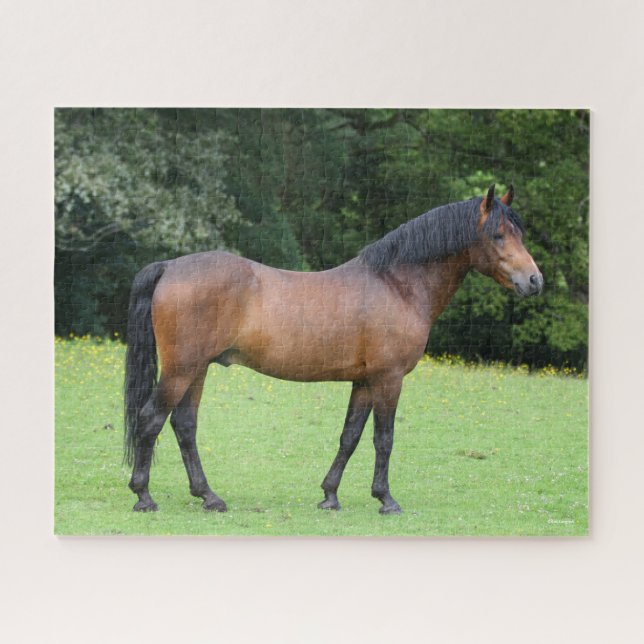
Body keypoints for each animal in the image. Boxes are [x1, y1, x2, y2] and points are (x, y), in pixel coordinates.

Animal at [124, 184, 543, 514]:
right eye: (498, 235)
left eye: (518, 233)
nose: (535, 281)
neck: (397, 284)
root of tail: (170, 266)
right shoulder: (388, 379)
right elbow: (384, 439)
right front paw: (386, 500)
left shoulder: (364, 381)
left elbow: (350, 436)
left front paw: (330, 496)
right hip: (181, 369)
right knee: (151, 419)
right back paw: (143, 496)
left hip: (197, 369)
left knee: (184, 425)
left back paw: (209, 497)